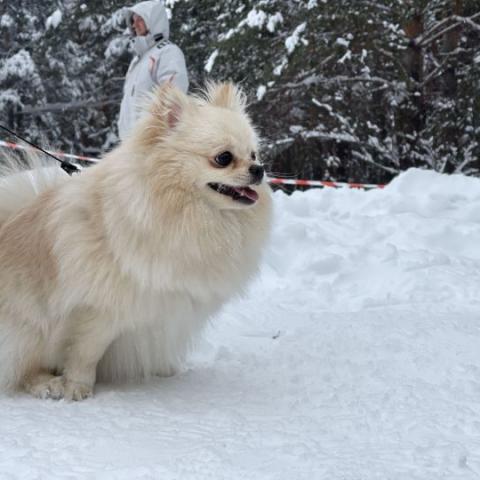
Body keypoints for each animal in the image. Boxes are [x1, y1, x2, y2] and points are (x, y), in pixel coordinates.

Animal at [0, 83, 272, 402]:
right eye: (224, 158)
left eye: (254, 154)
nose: (259, 169)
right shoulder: (100, 309)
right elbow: (85, 353)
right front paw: (77, 386)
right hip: (29, 327)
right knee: (23, 367)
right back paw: (46, 383)